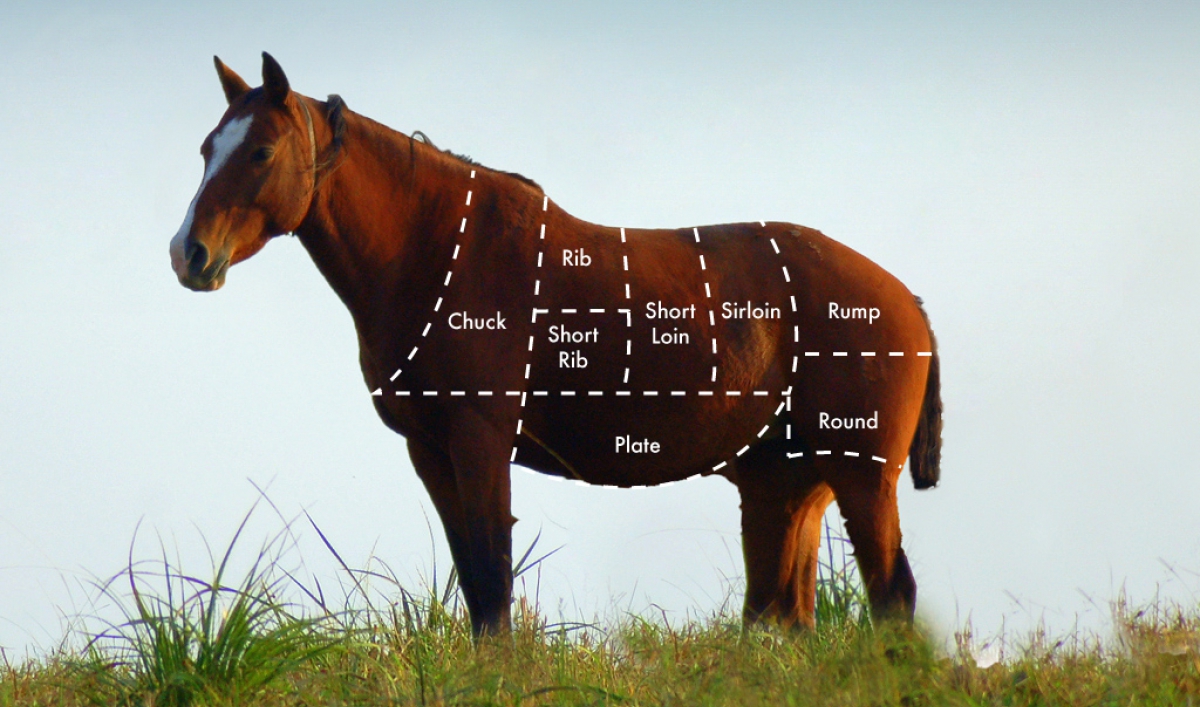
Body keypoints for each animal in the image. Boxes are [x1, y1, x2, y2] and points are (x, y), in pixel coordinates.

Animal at [169, 52, 942, 636]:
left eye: (261, 150)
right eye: (207, 149)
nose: (189, 253)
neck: (439, 250)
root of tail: (907, 301)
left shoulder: (480, 439)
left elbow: (492, 580)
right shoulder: (431, 449)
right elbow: (474, 581)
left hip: (861, 477)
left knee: (890, 596)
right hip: (789, 483)